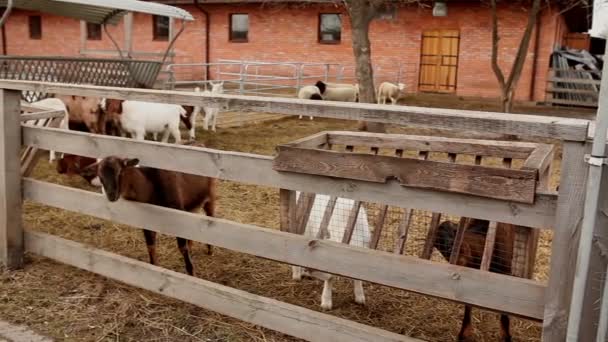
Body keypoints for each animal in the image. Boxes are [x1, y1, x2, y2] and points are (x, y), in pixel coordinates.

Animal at [81, 144, 216, 276]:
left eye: (120, 172)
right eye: (100, 176)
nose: (111, 195)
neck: (151, 187)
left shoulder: (177, 214)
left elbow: (182, 247)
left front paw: (191, 272)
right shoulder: (147, 220)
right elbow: (150, 245)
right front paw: (153, 267)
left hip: (210, 197)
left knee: (210, 216)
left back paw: (210, 250)